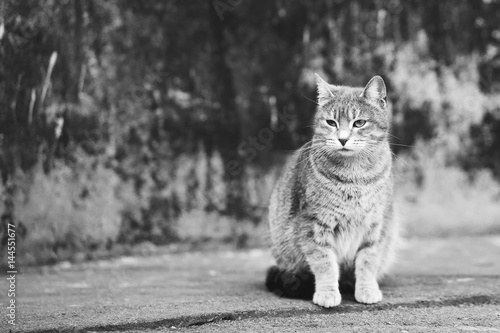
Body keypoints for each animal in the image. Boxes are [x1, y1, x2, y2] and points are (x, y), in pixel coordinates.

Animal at [266, 74, 398, 306]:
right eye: (331, 122)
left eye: (359, 123)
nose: (343, 139)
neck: (354, 177)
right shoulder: (314, 226)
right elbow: (325, 263)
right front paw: (327, 292)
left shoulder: (376, 225)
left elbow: (368, 261)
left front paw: (367, 289)